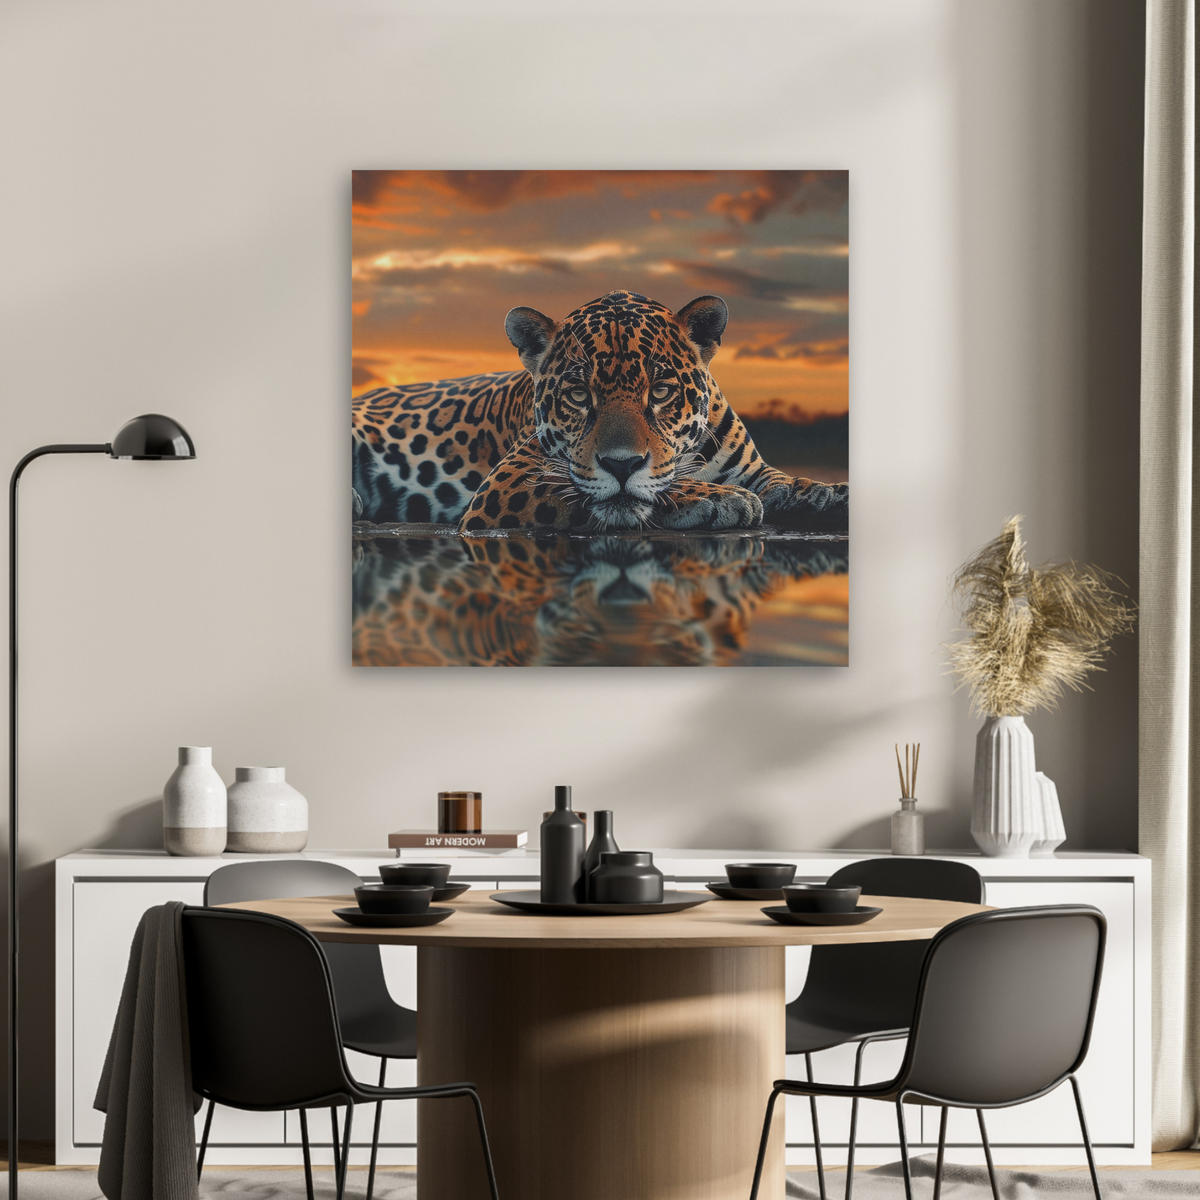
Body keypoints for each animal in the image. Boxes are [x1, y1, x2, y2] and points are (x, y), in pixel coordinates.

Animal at [352, 290, 848, 534]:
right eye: (577, 394)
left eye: (661, 391)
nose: (621, 465)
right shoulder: (508, 482)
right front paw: (719, 498)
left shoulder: (754, 470)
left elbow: (786, 481)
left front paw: (829, 494)